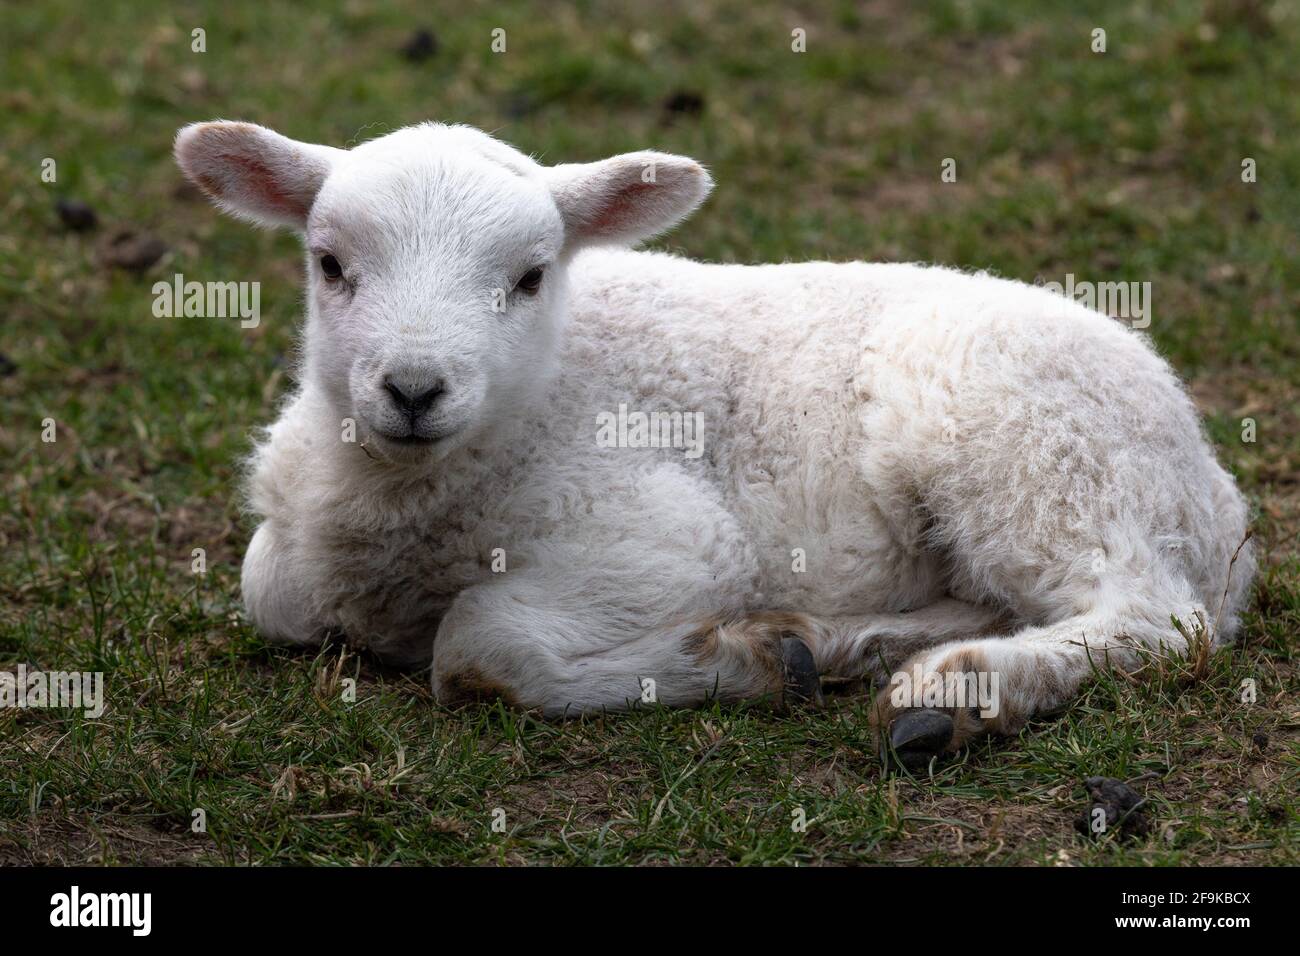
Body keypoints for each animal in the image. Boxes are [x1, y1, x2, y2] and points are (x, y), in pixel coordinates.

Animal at [174, 119, 1254, 766]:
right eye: (329, 264)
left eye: (529, 277)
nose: (411, 389)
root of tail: (1214, 497)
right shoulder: (299, 548)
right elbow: (270, 591)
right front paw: (773, 650)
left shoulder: (669, 538)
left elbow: (482, 648)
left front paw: (724, 662)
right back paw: (849, 644)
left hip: (1034, 450)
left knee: (1159, 619)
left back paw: (962, 688)